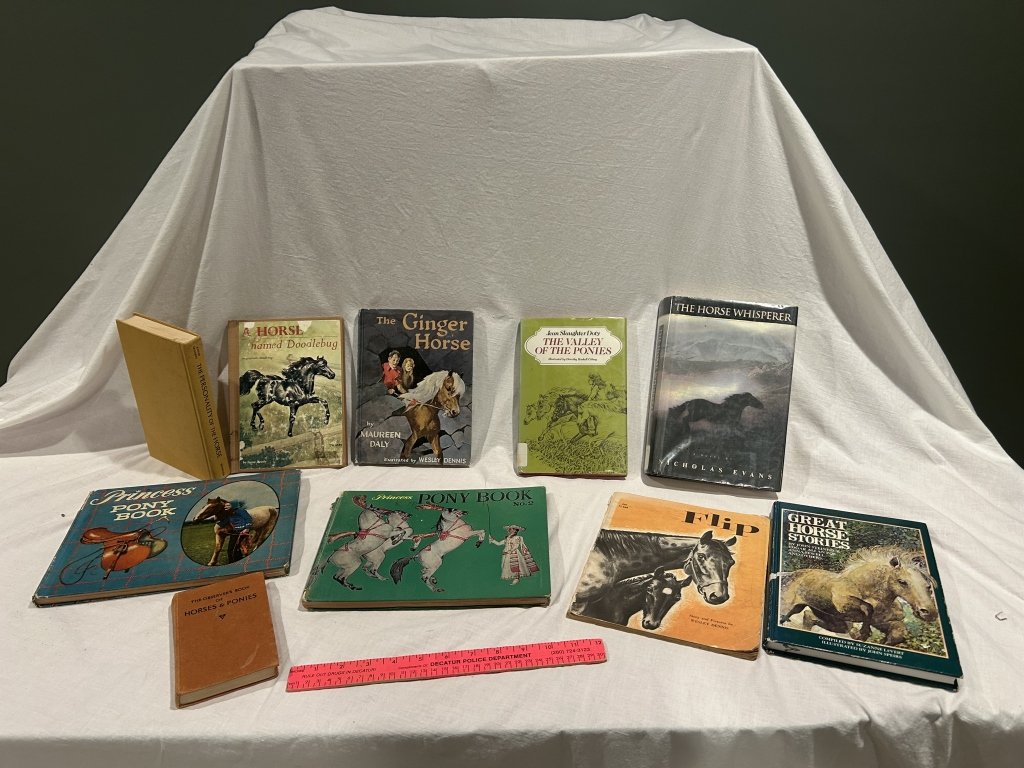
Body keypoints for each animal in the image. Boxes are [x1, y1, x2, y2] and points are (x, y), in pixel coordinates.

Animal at [778, 547, 938, 643]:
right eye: (902, 582)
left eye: (928, 586)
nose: (929, 612)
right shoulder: (843, 604)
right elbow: (866, 608)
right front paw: (862, 633)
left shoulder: (884, 622)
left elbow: (898, 632)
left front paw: (880, 640)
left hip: (832, 622)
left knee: (808, 616)